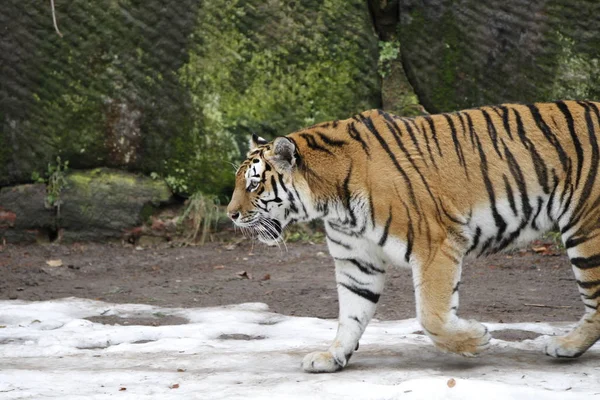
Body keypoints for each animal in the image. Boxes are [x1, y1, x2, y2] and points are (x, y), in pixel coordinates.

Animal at [227, 100, 600, 372]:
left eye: (254, 184)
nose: (230, 214)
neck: (330, 202)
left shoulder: (436, 244)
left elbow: (431, 315)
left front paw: (475, 341)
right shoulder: (356, 262)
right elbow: (351, 315)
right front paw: (332, 356)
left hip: (586, 230)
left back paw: (565, 346)